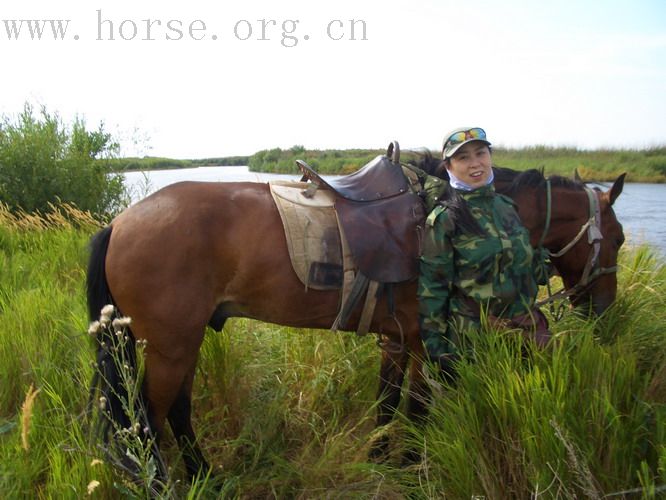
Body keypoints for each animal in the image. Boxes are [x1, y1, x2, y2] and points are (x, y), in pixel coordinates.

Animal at [85, 161, 624, 480]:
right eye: (617, 239)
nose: (604, 311)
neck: (451, 212)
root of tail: (121, 222)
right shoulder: (422, 342)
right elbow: (417, 408)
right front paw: (407, 466)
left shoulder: (396, 340)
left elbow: (387, 403)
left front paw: (380, 458)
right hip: (170, 347)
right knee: (147, 421)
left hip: (182, 342)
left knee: (175, 411)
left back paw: (205, 476)